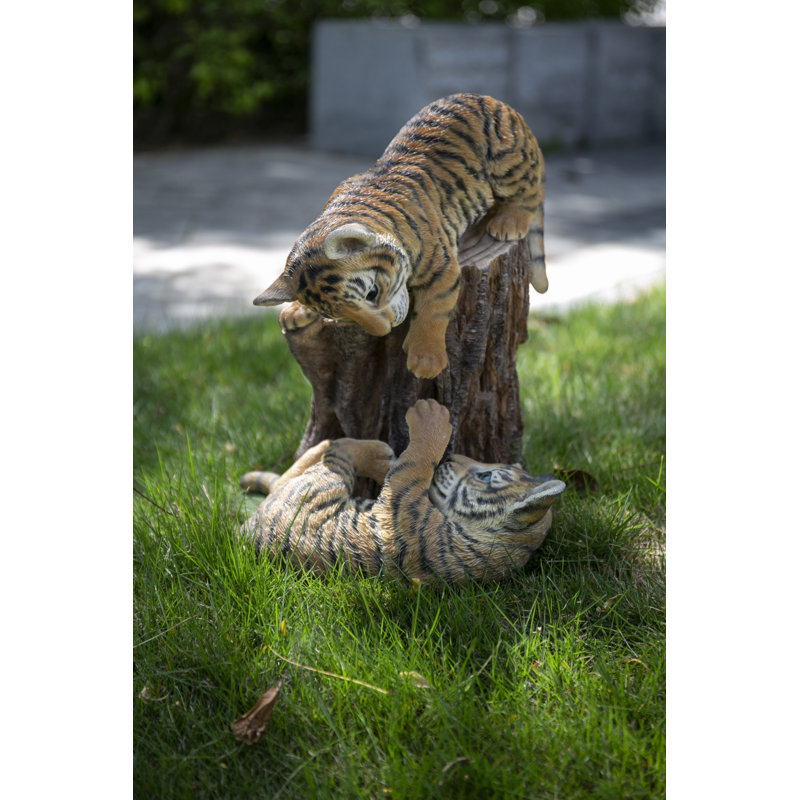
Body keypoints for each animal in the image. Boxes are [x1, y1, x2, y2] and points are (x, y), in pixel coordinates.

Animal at [239, 400, 565, 584]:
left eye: (486, 475)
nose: (451, 458)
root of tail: (248, 528)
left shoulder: (402, 506)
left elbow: (415, 460)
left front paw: (431, 416)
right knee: (288, 474)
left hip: (319, 487)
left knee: (332, 456)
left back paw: (353, 446)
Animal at [252, 93, 549, 380]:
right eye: (342, 317)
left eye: (372, 293)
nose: (384, 330)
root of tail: (501, 104)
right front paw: (295, 311)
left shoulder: (442, 268)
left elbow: (434, 309)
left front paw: (426, 361)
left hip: (506, 158)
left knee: (529, 192)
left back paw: (508, 222)